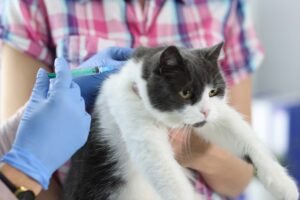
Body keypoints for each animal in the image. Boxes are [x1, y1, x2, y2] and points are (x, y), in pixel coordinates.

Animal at [62, 43, 298, 200]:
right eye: (185, 93)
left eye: (213, 91)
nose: (205, 111)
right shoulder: (131, 111)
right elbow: (164, 171)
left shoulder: (218, 114)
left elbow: (242, 133)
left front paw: (284, 184)